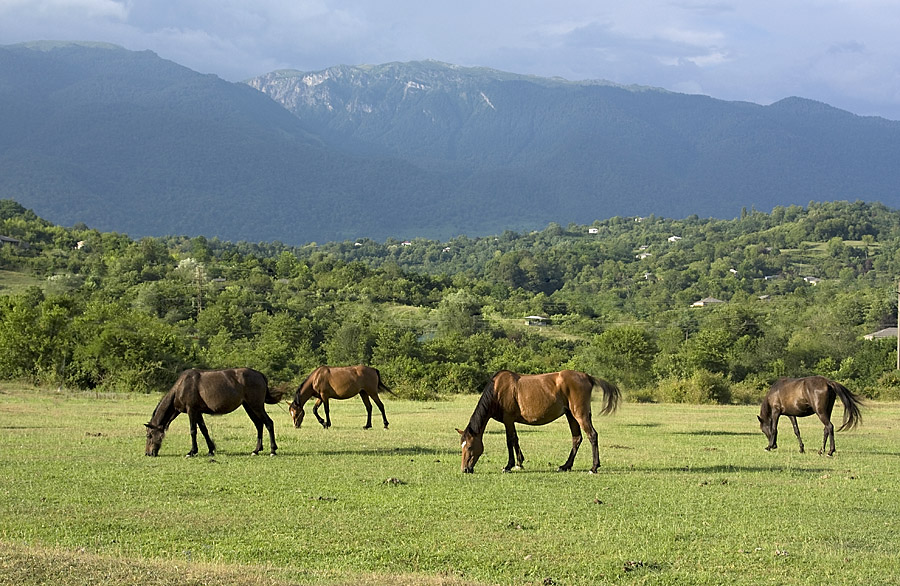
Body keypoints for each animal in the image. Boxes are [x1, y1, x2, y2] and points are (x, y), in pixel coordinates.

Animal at [146, 364, 284, 456]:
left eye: (149, 435)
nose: (148, 453)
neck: (182, 386)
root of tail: (260, 375)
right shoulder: (198, 412)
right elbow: (204, 430)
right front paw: (211, 450)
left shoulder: (192, 410)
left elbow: (193, 431)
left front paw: (192, 451)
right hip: (249, 407)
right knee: (259, 425)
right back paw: (256, 450)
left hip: (256, 406)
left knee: (269, 423)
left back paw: (273, 450)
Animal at [458, 370, 620, 474]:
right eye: (462, 446)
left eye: (470, 447)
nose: (465, 469)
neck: (497, 390)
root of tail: (587, 377)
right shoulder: (510, 421)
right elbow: (515, 439)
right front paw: (519, 463)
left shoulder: (508, 420)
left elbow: (509, 440)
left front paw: (509, 465)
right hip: (571, 415)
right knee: (577, 438)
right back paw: (565, 466)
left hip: (580, 414)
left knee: (592, 435)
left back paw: (594, 467)